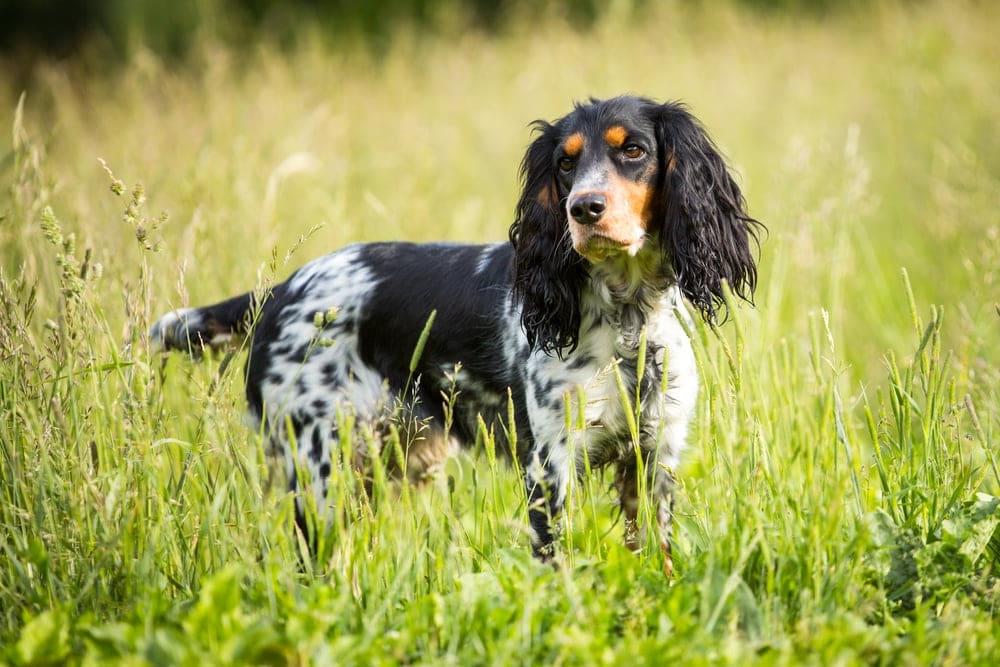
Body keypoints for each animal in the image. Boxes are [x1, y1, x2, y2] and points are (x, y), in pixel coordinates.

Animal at [150, 95, 756, 576]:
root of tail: (280, 290)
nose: (584, 209)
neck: (627, 319)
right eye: (565, 162)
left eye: (633, 150)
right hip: (320, 469)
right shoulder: (550, 464)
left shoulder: (656, 456)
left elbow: (660, 554)